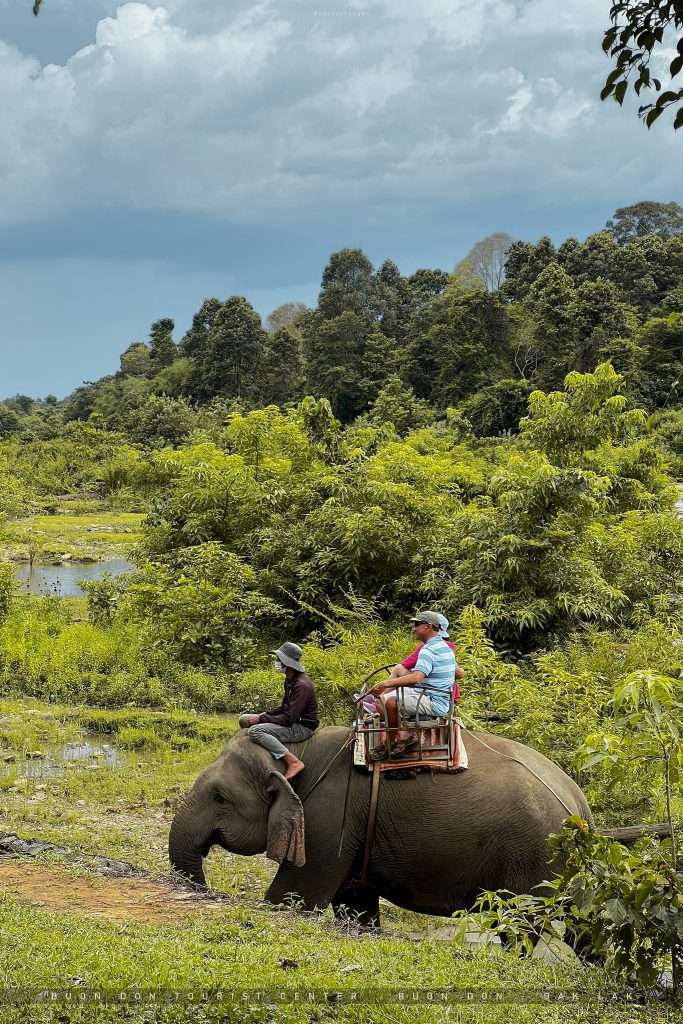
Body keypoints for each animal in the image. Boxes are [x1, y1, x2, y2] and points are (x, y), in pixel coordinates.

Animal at [169, 720, 593, 929]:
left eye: (220, 798)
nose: (206, 892)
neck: (300, 750)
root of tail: (579, 807)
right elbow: (355, 908)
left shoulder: (328, 821)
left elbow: (292, 899)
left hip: (531, 860)